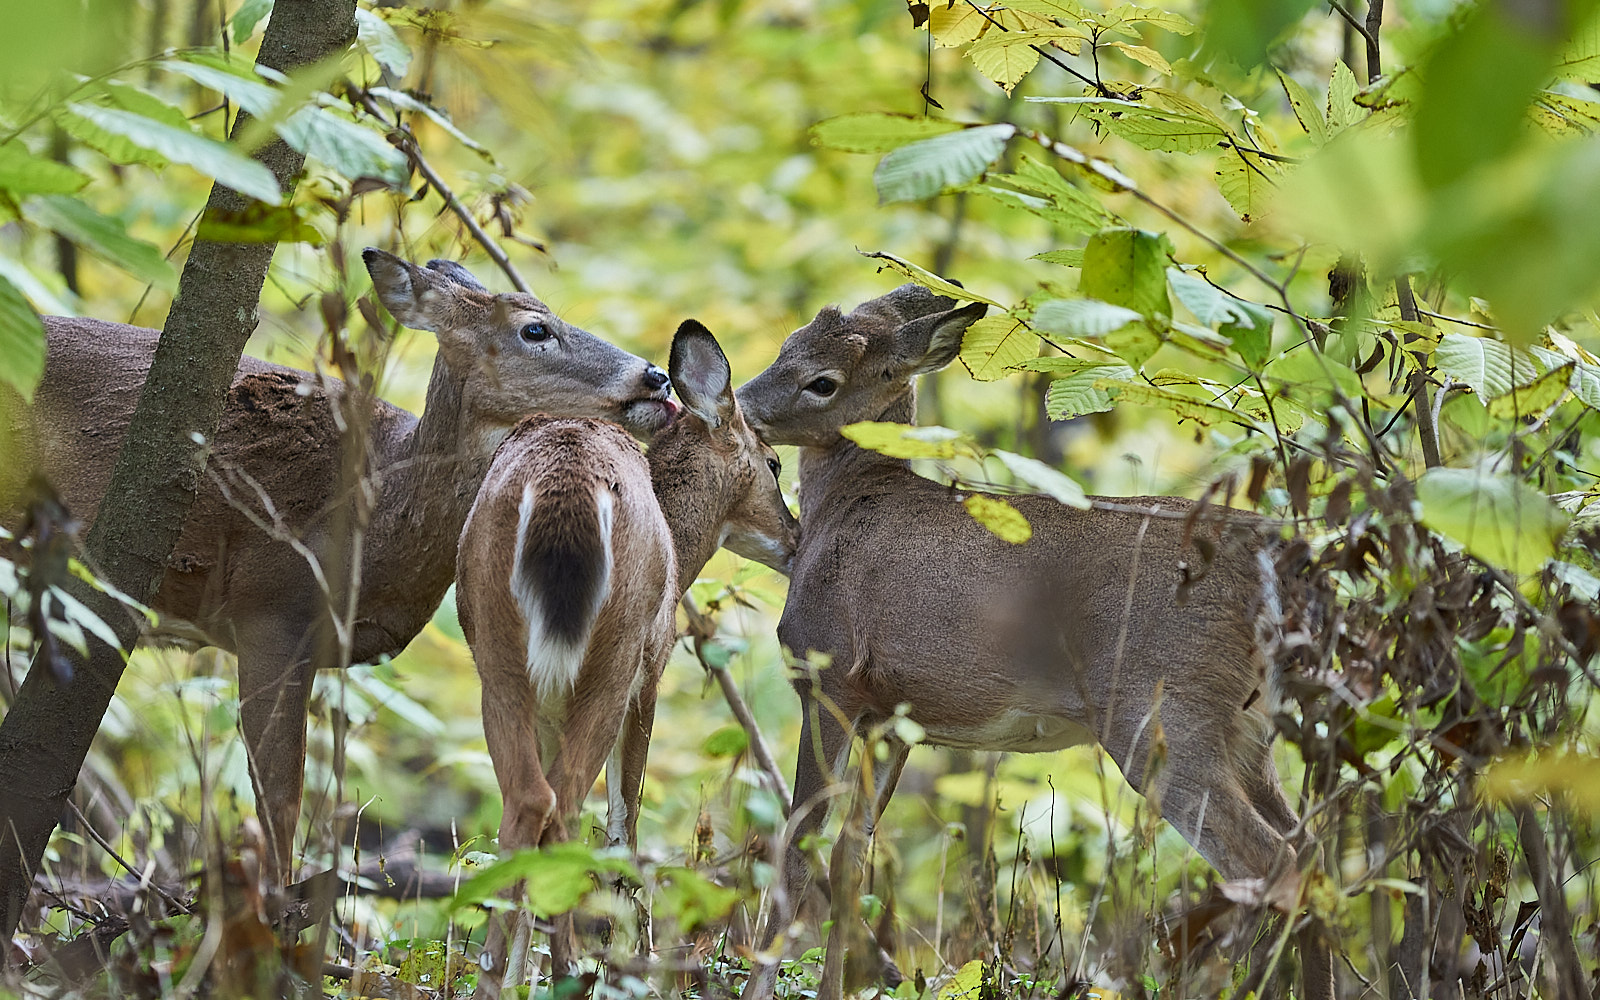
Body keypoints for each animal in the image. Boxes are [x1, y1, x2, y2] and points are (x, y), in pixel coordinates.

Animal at [456, 319, 798, 996]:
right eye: (773, 462)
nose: (797, 538)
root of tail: (565, 487)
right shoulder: (651, 676)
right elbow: (624, 827)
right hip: (613, 657)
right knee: (564, 810)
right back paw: (569, 972)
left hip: (498, 652)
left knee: (526, 804)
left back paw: (497, 976)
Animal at [733, 284, 1335, 1000]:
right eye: (786, 342)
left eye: (822, 380)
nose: (740, 402)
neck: (842, 511)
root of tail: (1276, 560)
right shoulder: (891, 716)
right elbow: (853, 859)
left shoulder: (827, 677)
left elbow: (798, 850)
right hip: (1247, 725)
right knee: (1312, 852)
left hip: (1162, 709)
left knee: (1273, 861)